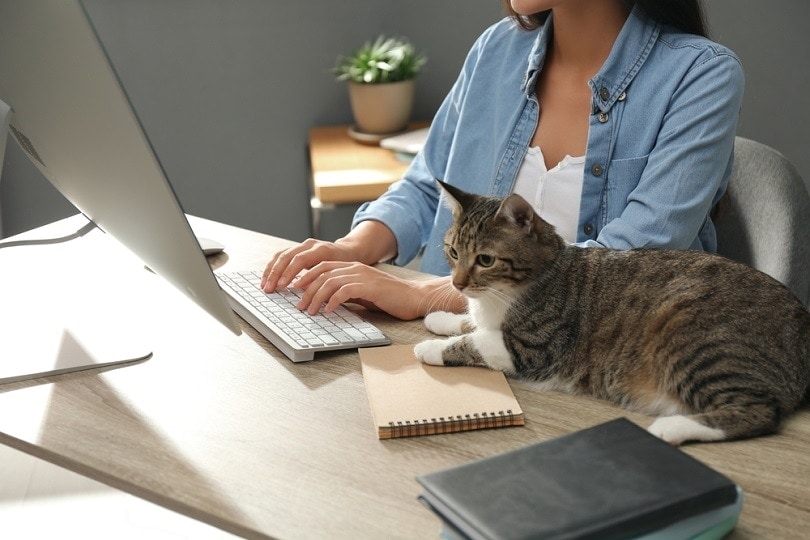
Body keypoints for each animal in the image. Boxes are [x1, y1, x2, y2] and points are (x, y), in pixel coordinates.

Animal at [416, 181, 808, 442]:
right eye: (453, 251)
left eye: (485, 260)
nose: (457, 284)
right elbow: (471, 324)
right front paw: (442, 318)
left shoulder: (535, 348)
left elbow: (477, 341)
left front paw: (431, 347)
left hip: (695, 337)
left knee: (759, 412)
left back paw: (670, 429)